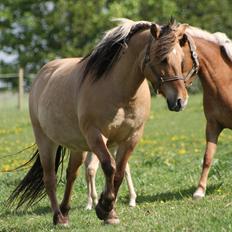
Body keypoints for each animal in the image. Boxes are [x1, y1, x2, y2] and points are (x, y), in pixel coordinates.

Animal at [7, 19, 192, 226]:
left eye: (181, 60)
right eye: (163, 59)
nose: (180, 101)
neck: (119, 92)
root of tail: (42, 75)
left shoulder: (131, 138)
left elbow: (119, 173)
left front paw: (109, 211)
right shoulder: (96, 135)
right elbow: (109, 167)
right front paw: (104, 208)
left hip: (77, 146)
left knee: (71, 174)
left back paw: (65, 211)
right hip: (46, 141)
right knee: (50, 179)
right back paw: (59, 218)